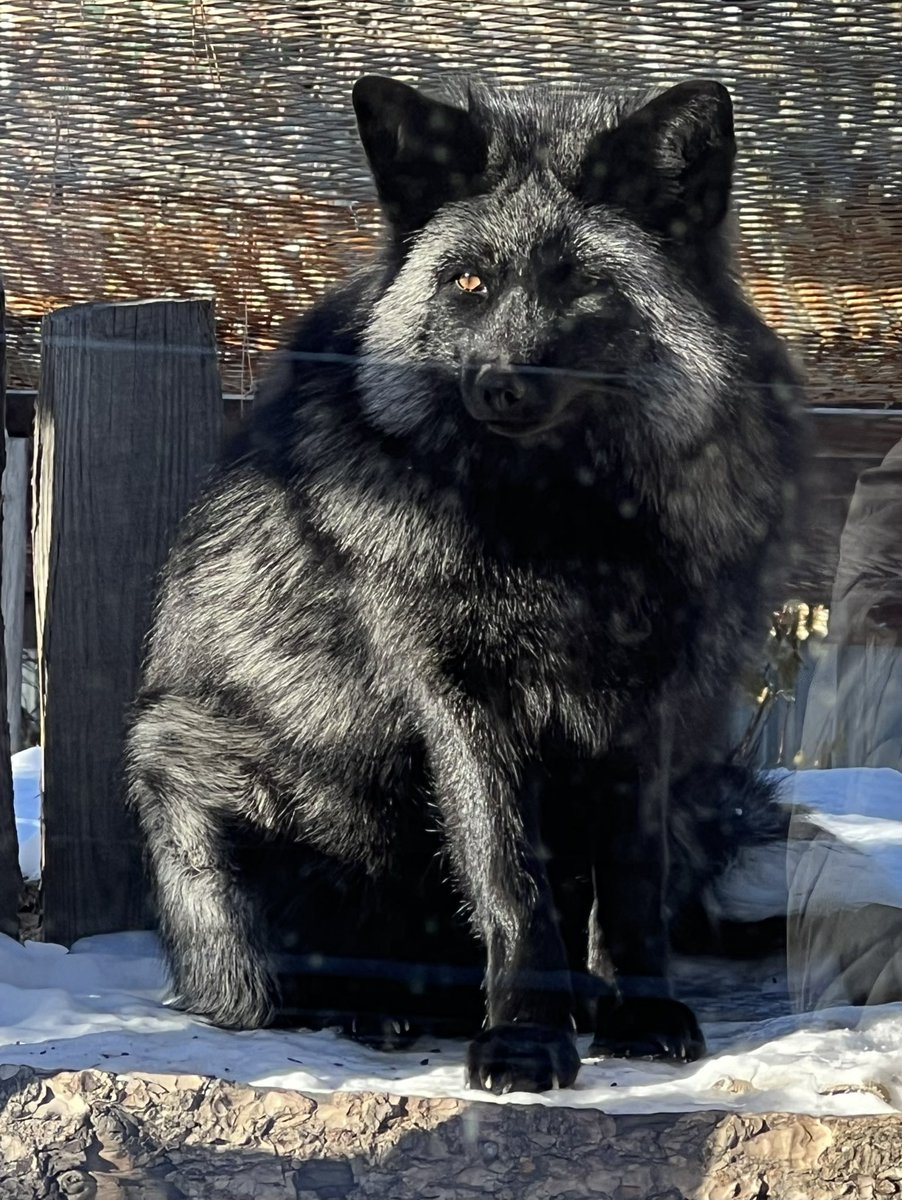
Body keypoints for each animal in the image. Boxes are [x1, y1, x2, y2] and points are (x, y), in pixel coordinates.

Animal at [125, 74, 804, 1093]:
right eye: (468, 284)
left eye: (580, 283)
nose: (499, 385)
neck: (559, 536)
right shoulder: (461, 695)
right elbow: (508, 875)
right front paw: (525, 1036)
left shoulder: (646, 704)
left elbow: (630, 885)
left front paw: (640, 1015)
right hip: (195, 787)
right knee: (278, 990)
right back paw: (389, 1011)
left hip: (704, 790)